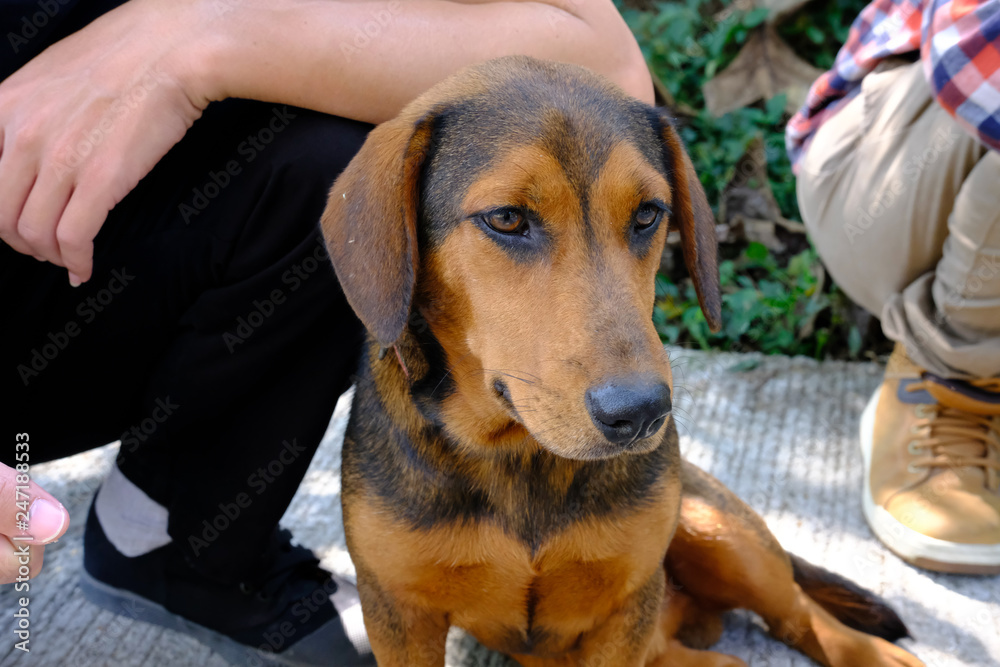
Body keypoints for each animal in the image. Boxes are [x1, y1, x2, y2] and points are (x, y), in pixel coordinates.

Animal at [318, 57, 920, 667]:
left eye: (648, 214)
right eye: (507, 219)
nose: (643, 414)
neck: (519, 457)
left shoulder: (627, 598)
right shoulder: (398, 614)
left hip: (716, 530)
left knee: (796, 610)